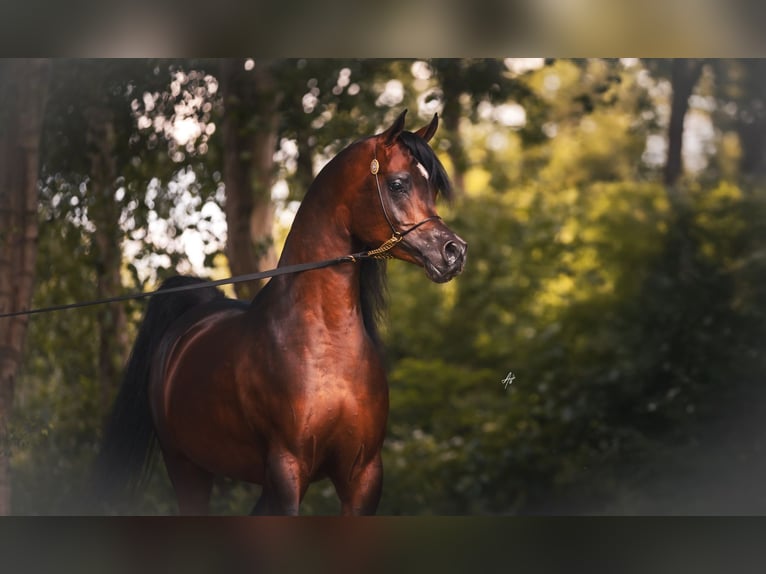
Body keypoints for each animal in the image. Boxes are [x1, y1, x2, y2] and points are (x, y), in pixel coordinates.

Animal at [94, 109, 467, 515]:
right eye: (398, 184)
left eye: (432, 190)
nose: (453, 252)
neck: (326, 342)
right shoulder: (288, 470)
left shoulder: (364, 476)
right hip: (186, 467)